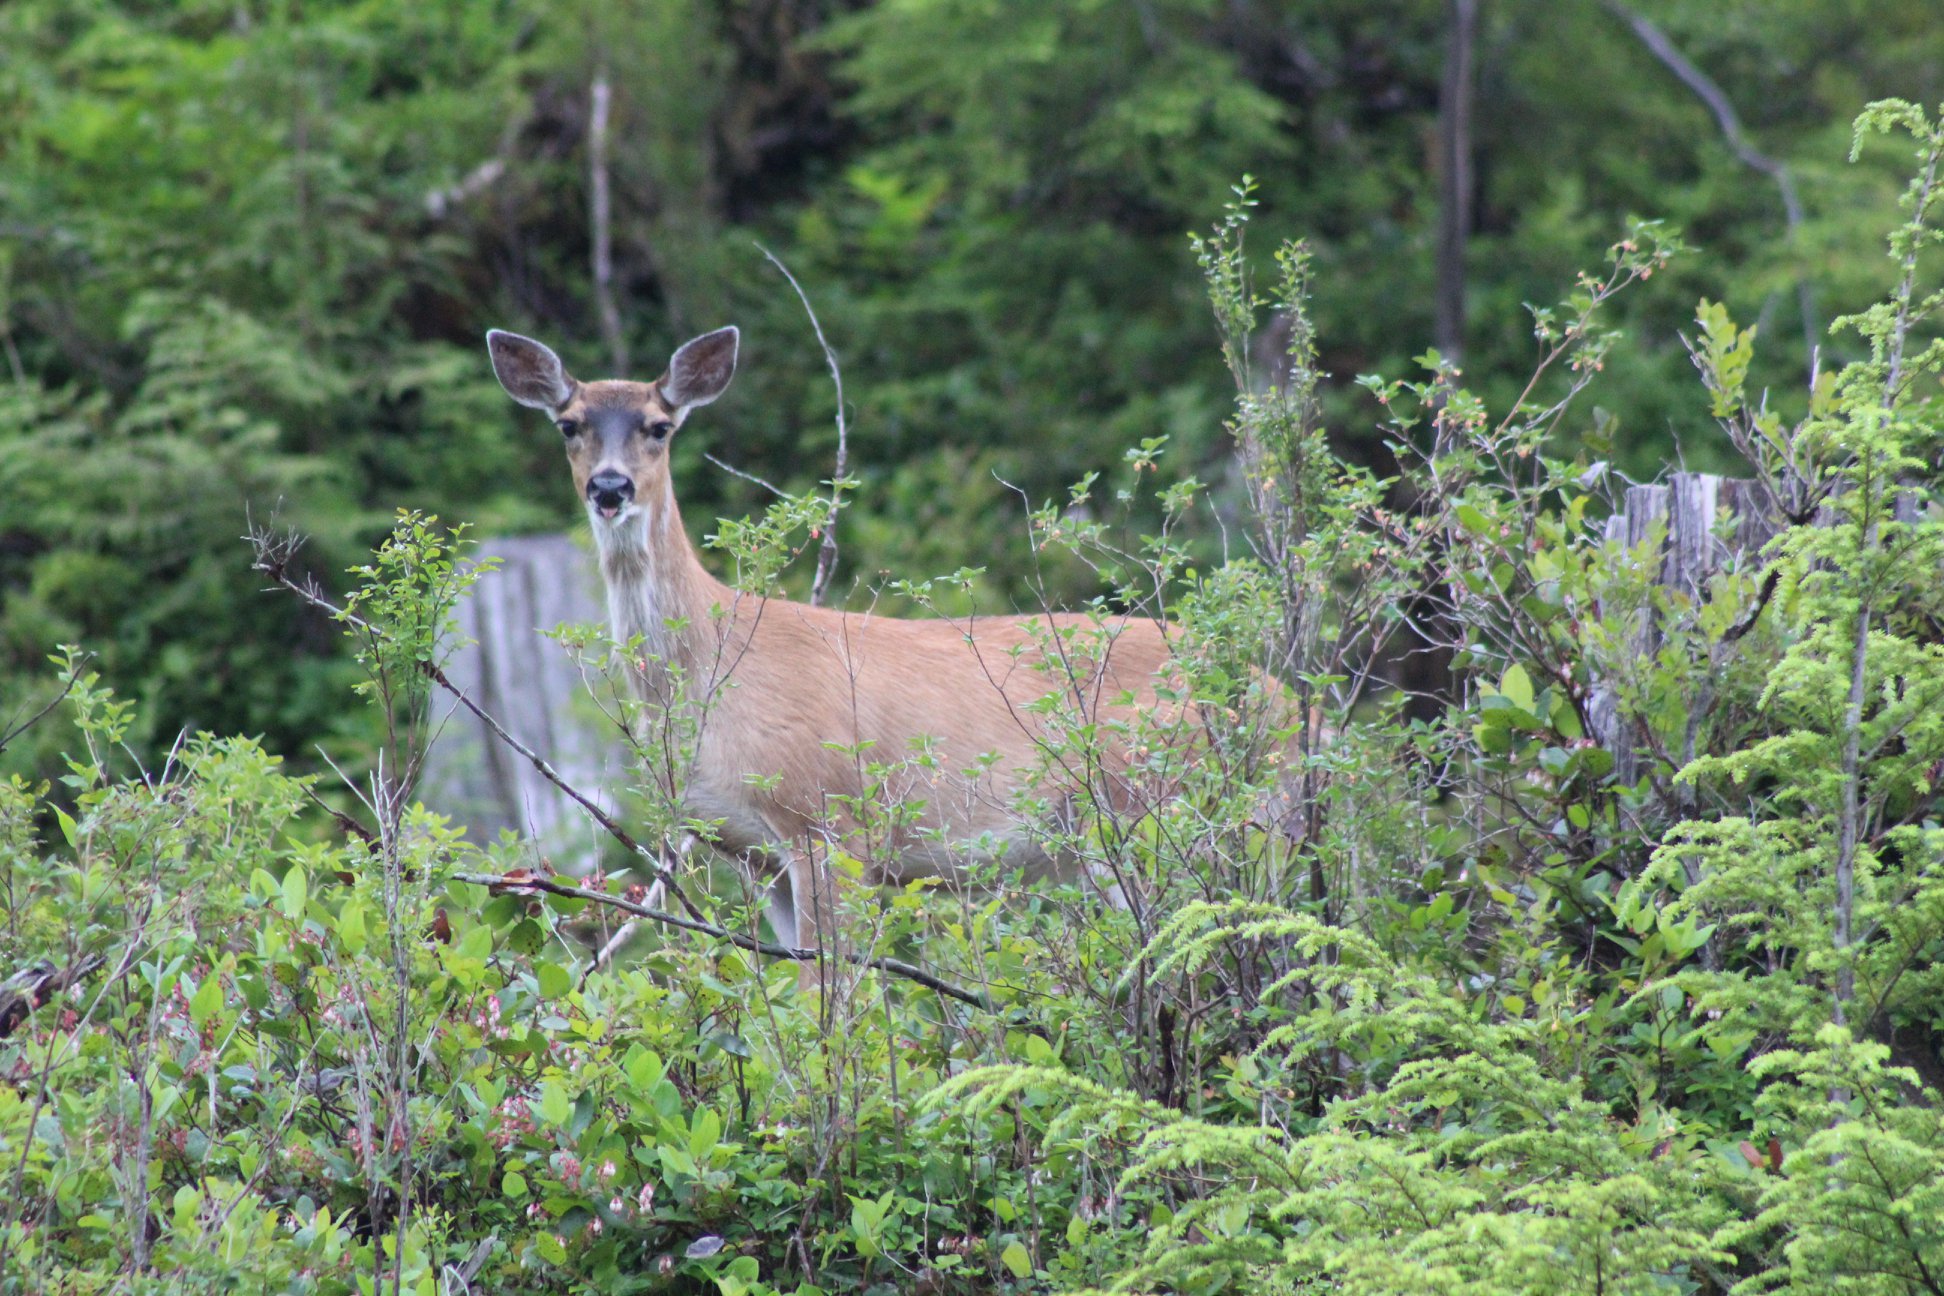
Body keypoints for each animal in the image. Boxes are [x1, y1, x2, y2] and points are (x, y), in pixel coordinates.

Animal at [486, 326, 1228, 983]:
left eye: (658, 426)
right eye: (569, 424)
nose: (610, 488)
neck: (711, 670)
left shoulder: (827, 818)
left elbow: (831, 993)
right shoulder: (758, 857)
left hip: (1154, 808)